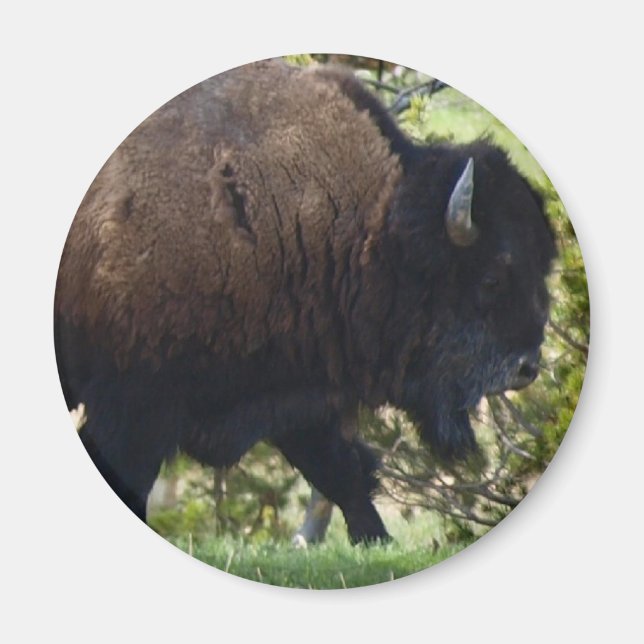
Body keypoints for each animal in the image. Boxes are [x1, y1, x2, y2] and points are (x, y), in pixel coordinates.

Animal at [55, 59, 556, 543]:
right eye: (491, 278)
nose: (526, 367)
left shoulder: (296, 388)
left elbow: (343, 473)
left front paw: (376, 541)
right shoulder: (133, 402)